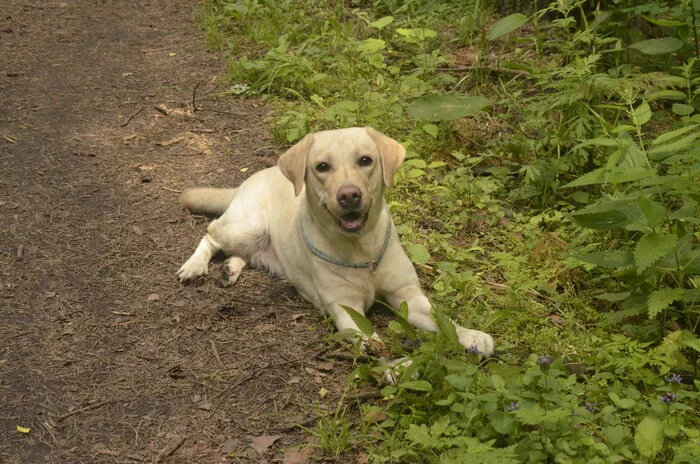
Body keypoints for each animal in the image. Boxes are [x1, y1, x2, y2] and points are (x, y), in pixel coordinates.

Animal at [178, 126, 494, 356]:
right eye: (322, 166)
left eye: (365, 160)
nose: (349, 195)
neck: (362, 251)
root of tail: (251, 178)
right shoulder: (345, 307)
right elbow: (371, 341)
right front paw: (393, 364)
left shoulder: (408, 295)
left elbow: (442, 318)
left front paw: (470, 335)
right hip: (245, 226)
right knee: (211, 233)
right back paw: (194, 266)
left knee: (241, 253)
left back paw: (229, 269)